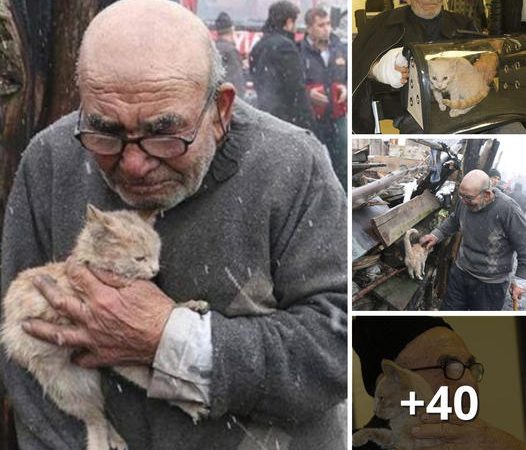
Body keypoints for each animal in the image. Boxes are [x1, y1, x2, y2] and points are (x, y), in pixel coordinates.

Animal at [2, 206, 208, 448]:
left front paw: (191, 305)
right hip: (68, 387)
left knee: (111, 406)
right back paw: (101, 443)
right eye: (140, 258)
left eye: (156, 254)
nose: (155, 270)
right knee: (95, 419)